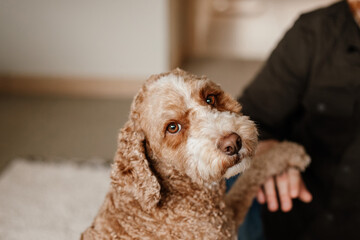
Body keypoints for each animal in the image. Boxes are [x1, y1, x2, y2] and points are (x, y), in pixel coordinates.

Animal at [81, 68, 310, 239]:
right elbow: (249, 178)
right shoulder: (225, 226)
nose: (233, 143)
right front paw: (289, 152)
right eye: (173, 127)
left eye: (210, 99)